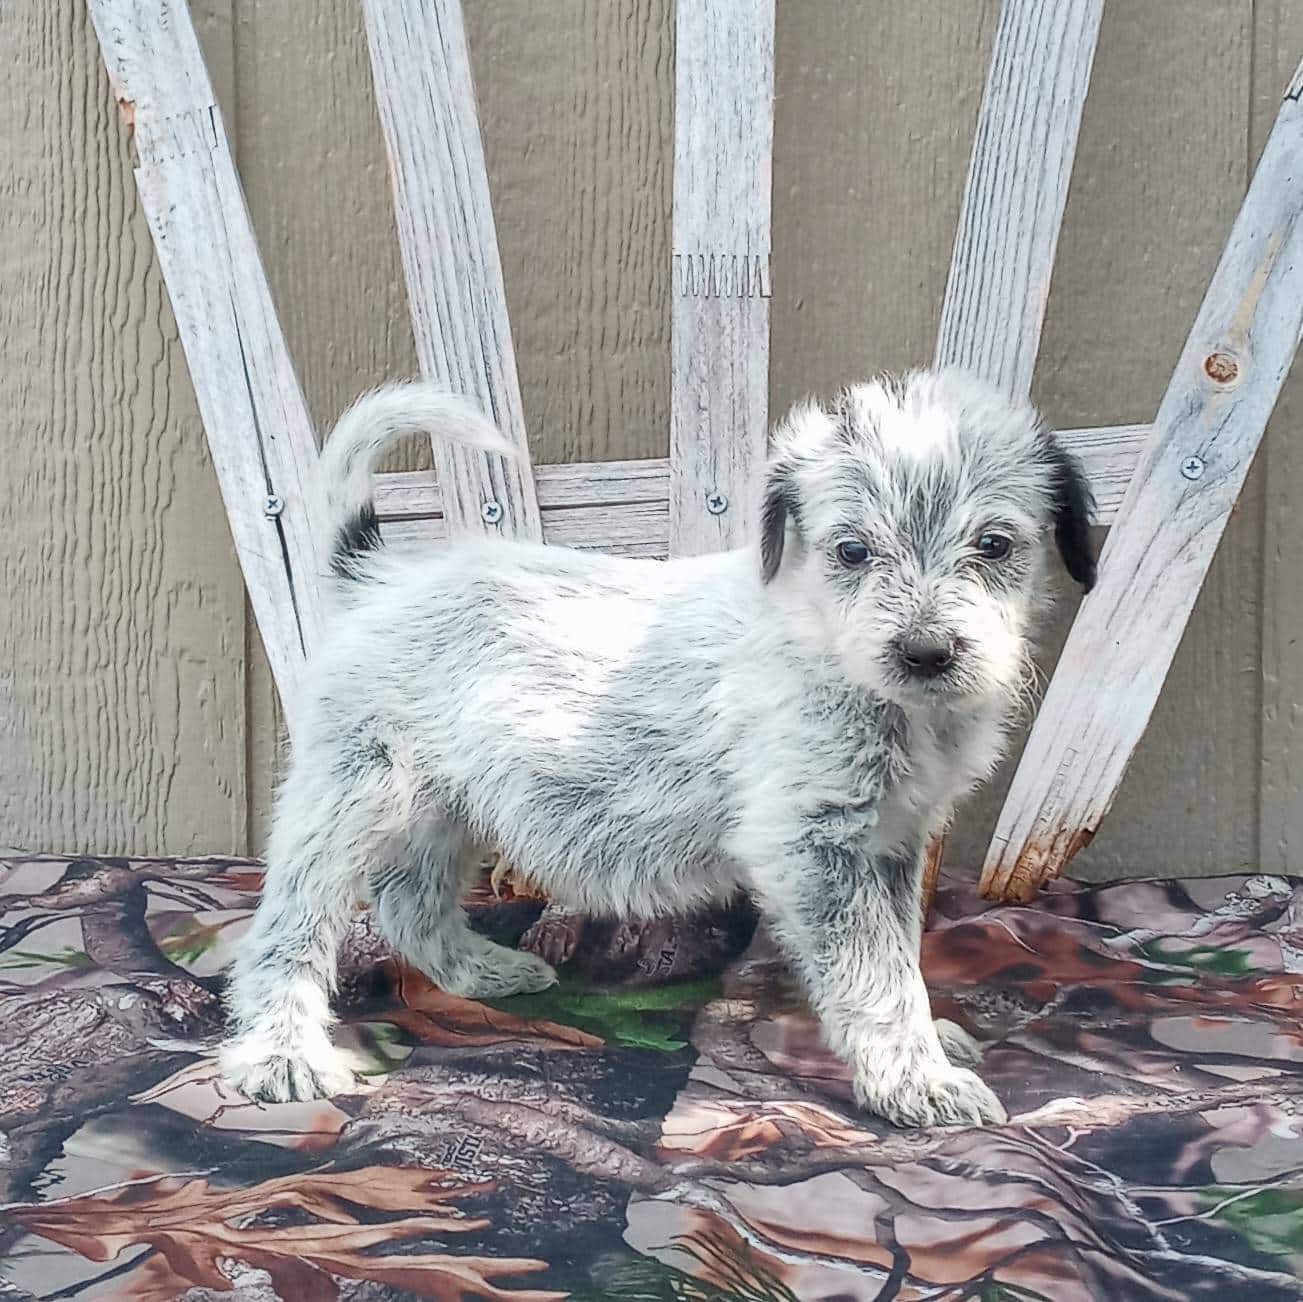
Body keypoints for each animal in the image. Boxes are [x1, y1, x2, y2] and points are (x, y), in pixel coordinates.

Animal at [218, 370, 1094, 1131]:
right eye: (851, 551)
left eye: (993, 545)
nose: (925, 654)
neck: (829, 647)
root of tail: (377, 577)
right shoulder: (813, 846)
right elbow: (874, 973)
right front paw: (916, 1080)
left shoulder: (891, 841)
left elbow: (900, 954)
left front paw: (925, 1048)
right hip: (352, 792)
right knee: (288, 927)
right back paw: (281, 1055)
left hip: (445, 805)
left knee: (409, 902)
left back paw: (484, 972)